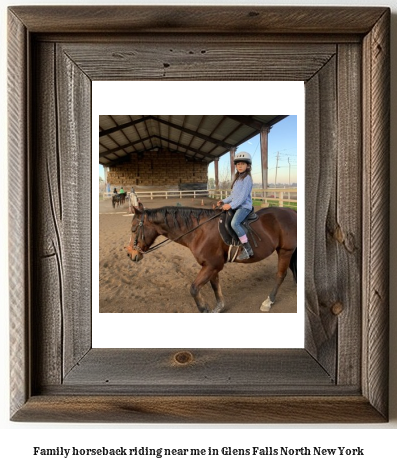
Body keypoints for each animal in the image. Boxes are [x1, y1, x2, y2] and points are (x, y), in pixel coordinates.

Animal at [125, 202, 296, 314]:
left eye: (133, 229)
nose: (130, 254)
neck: (199, 230)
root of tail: (292, 212)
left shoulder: (212, 265)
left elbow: (194, 288)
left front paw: (204, 309)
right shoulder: (211, 266)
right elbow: (215, 286)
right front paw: (219, 307)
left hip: (285, 251)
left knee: (280, 275)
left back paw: (269, 301)